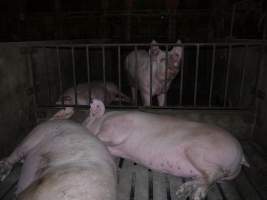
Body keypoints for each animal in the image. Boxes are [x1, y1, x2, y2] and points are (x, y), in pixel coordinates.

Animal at [83, 99, 249, 200]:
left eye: (85, 121)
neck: (103, 119)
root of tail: (241, 156)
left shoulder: (115, 128)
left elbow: (102, 136)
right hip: (211, 171)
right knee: (206, 177)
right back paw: (181, 191)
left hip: (199, 152)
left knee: (214, 172)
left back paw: (197, 195)